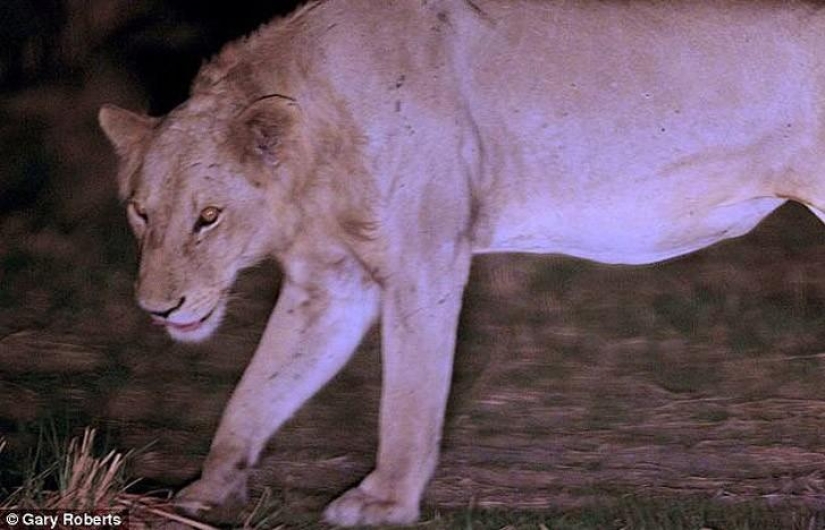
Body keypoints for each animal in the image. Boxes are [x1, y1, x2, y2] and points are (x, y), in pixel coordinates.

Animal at [98, 0, 825, 526]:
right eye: (140, 212)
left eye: (209, 216)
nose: (157, 308)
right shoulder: (330, 285)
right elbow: (258, 390)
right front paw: (204, 492)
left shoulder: (426, 259)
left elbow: (409, 398)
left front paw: (385, 502)